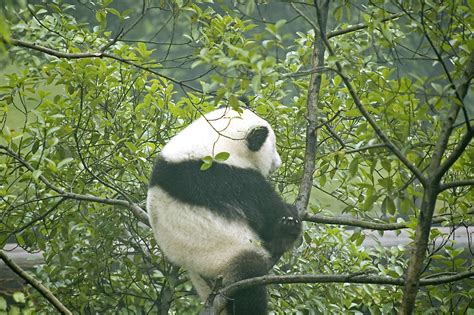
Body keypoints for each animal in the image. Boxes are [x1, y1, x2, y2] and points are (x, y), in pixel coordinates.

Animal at [146, 107, 302, 315]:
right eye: (273, 146)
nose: (278, 162)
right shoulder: (224, 177)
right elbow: (265, 213)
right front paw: (289, 221)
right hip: (224, 255)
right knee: (249, 281)